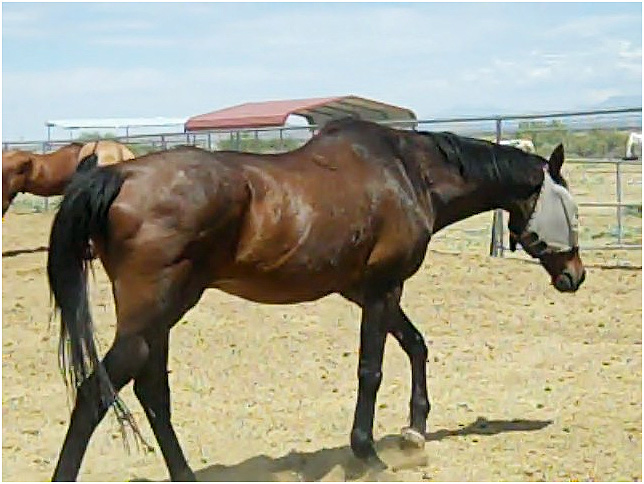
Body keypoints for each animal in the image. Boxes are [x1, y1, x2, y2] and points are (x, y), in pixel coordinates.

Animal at [47, 119, 588, 482]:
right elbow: (372, 369)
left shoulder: (365, 290)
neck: (408, 172)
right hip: (153, 317)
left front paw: (414, 433)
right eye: (570, 209)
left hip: (159, 320)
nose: (575, 276)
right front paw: (368, 455)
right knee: (96, 395)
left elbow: (416, 345)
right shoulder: (384, 287)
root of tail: (119, 177)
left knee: (153, 394)